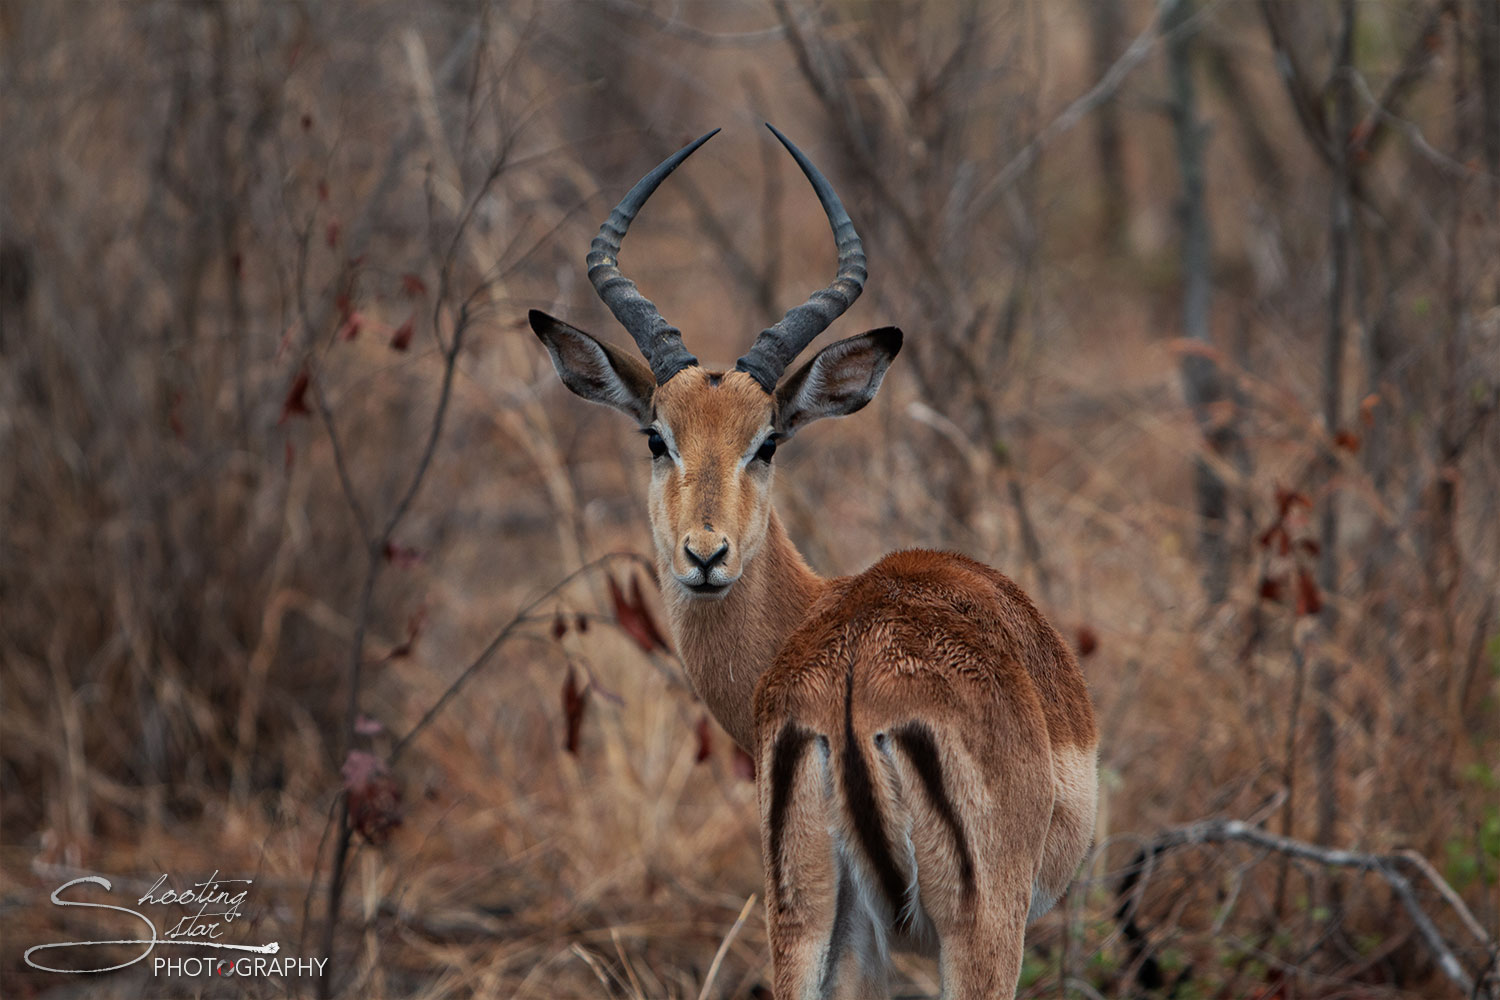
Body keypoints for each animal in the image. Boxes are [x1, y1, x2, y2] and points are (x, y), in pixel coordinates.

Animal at [530, 126, 1098, 999]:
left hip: (805, 922)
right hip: (976, 933)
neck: (821, 604)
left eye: (766, 442)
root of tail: (856, 678)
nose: (705, 556)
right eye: (657, 437)